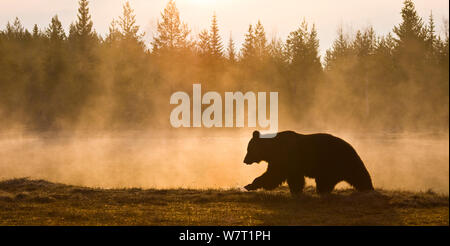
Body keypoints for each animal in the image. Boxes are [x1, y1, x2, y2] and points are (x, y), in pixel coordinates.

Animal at [244, 130, 374, 195]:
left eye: (248, 149)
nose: (245, 160)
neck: (271, 149)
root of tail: (352, 148)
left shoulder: (285, 158)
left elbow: (274, 175)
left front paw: (249, 185)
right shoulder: (288, 163)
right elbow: (292, 177)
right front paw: (296, 190)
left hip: (332, 162)